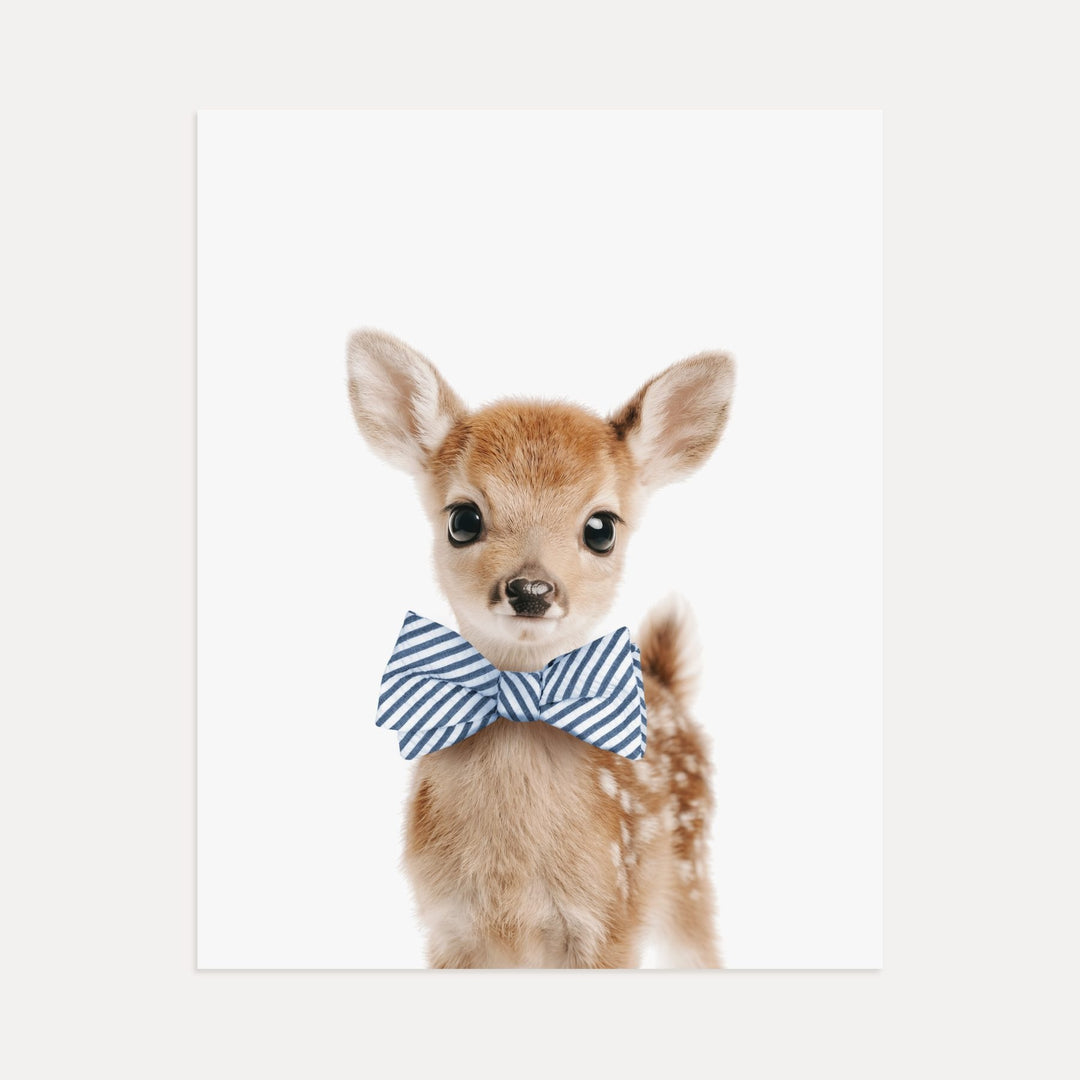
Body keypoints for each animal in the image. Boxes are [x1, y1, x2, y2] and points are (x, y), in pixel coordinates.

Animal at [346, 329, 735, 967]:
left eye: (601, 528)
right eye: (463, 519)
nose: (531, 590)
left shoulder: (610, 921)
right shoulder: (446, 928)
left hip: (690, 875)